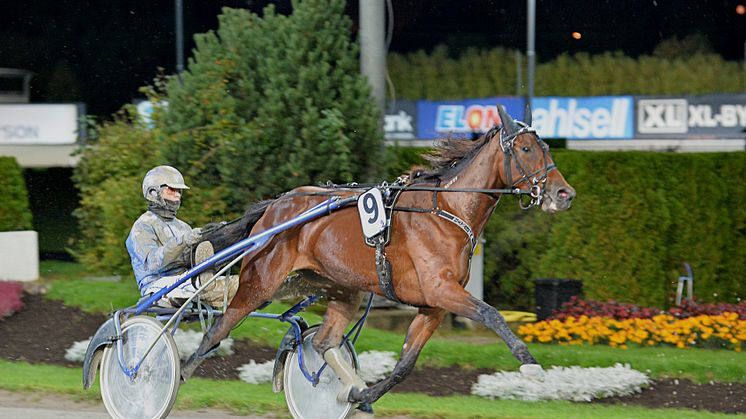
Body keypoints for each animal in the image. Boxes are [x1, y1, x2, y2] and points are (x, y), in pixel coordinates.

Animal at [182, 105, 576, 414]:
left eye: (545, 147)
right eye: (525, 148)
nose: (565, 193)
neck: (448, 210)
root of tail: (275, 205)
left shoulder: (432, 306)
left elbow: (405, 365)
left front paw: (361, 394)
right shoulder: (442, 290)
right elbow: (492, 314)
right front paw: (529, 364)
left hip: (341, 289)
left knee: (323, 343)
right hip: (260, 282)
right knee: (217, 330)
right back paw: (178, 372)